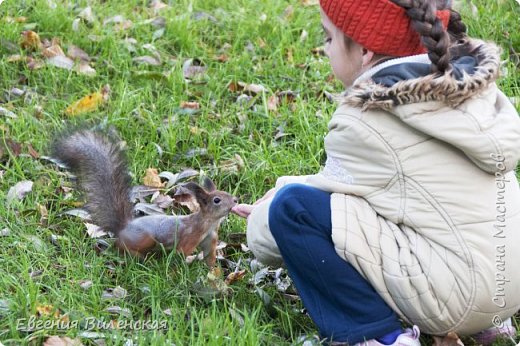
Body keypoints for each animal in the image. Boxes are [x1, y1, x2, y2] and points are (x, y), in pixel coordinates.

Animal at [49, 128, 237, 266]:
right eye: (217, 200)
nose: (235, 201)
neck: (208, 223)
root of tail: (124, 228)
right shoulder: (188, 237)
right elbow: (181, 253)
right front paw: (185, 266)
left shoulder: (210, 239)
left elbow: (209, 256)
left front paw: (212, 271)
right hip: (144, 239)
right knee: (120, 246)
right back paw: (138, 257)